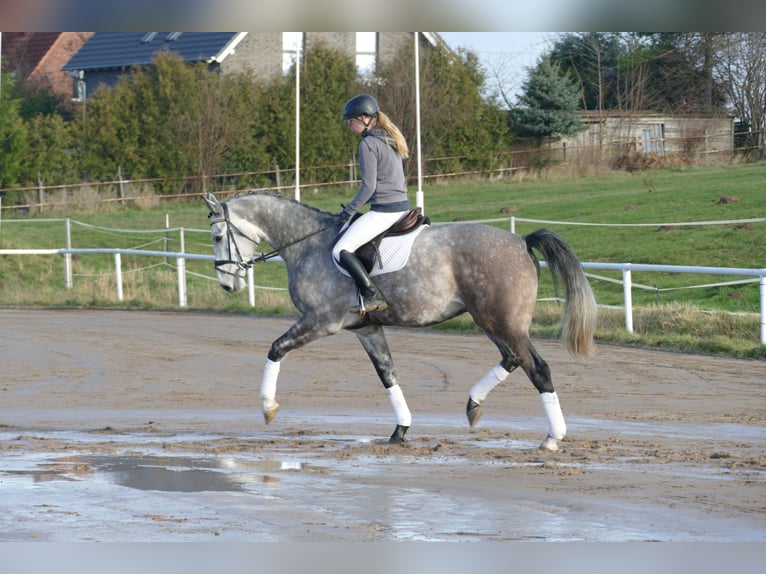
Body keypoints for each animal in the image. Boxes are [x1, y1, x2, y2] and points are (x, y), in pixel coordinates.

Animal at [204, 191, 597, 451]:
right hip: (497, 322)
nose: (226, 285)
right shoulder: (367, 328)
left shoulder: (319, 322)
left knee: (537, 369)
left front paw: (268, 408)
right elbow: (388, 375)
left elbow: (276, 349)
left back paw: (552, 438)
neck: (309, 244)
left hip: (500, 322)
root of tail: (520, 240)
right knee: (513, 359)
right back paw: (474, 405)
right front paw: (400, 430)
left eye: (219, 236)